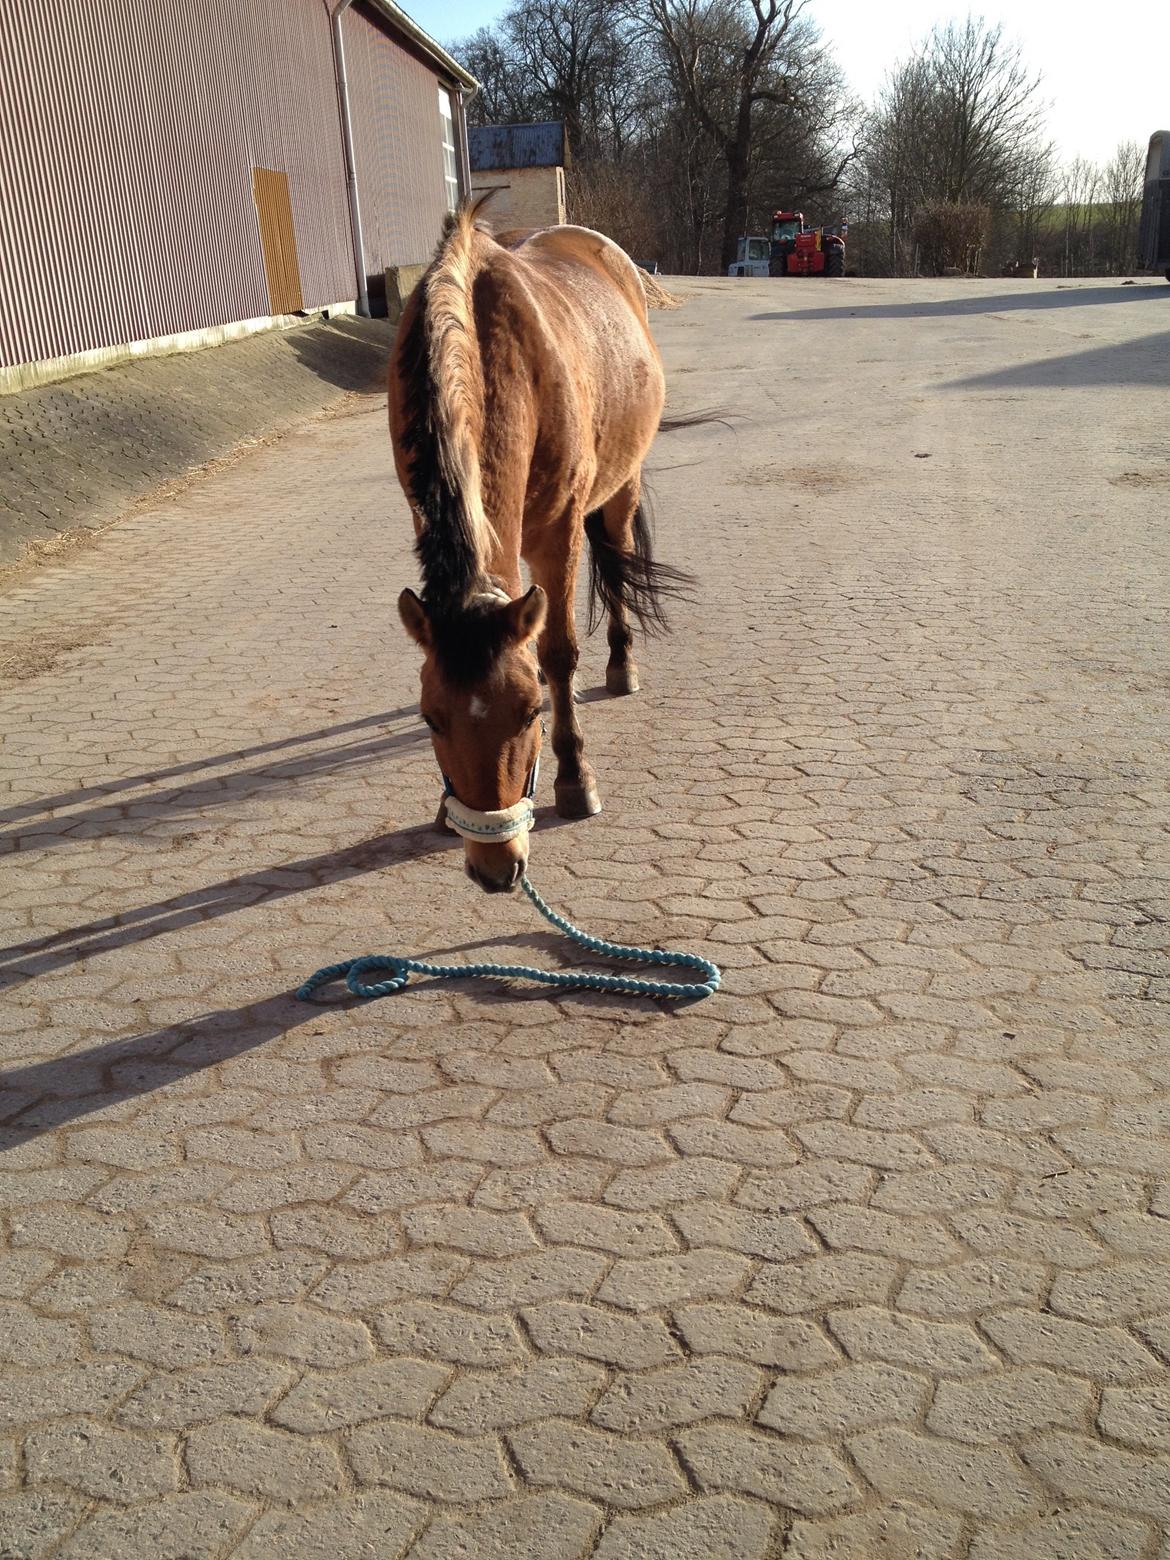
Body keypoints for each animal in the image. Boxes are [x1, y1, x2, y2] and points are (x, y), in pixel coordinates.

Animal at [391, 201, 683, 898]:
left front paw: (576, 780)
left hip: (620, 490)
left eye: (527, 715)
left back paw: (621, 666)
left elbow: (557, 653)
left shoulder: (558, 533)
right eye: (431, 719)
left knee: (616, 569)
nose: (497, 868)